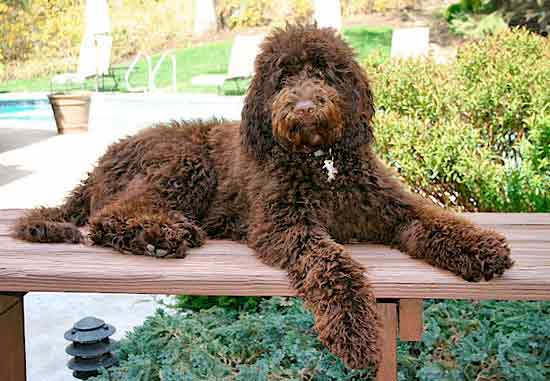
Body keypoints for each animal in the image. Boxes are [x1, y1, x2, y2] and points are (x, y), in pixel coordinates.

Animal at [11, 23, 512, 368]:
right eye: (282, 77)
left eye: (325, 73)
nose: (304, 107)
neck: (322, 165)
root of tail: (102, 161)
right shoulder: (284, 225)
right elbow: (333, 265)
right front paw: (354, 328)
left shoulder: (393, 208)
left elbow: (435, 221)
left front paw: (480, 247)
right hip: (181, 163)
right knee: (109, 217)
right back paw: (160, 235)